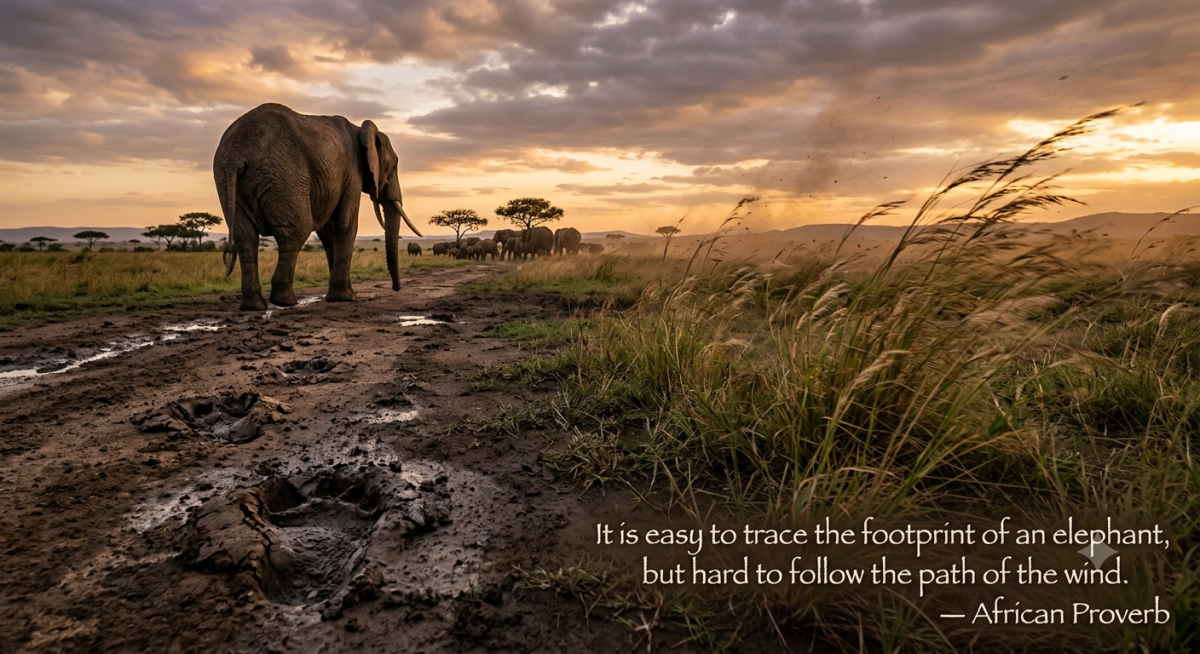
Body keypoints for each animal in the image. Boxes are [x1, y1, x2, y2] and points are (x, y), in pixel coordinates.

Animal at [214, 103, 421, 310]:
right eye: (393, 167)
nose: (396, 288)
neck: (360, 129)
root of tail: (236, 154)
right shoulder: (353, 173)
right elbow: (346, 224)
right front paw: (346, 298)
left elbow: (329, 231)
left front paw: (341, 295)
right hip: (283, 176)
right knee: (296, 232)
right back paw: (285, 301)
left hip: (225, 179)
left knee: (246, 239)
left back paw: (254, 306)